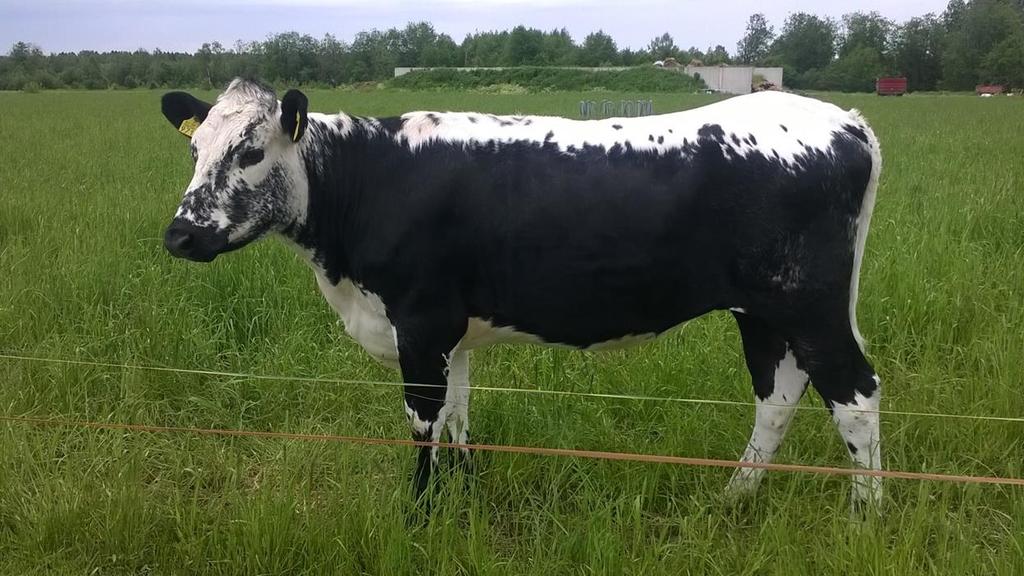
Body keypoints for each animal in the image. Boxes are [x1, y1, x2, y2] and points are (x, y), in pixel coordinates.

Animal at [163, 77, 884, 506]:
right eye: (195, 149)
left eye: (251, 151)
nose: (180, 234)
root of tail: (841, 118)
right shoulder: (451, 330)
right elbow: (457, 413)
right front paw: (460, 494)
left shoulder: (420, 320)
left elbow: (423, 417)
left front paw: (419, 509)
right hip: (763, 311)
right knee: (778, 395)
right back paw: (735, 496)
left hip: (809, 306)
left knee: (854, 394)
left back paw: (866, 512)